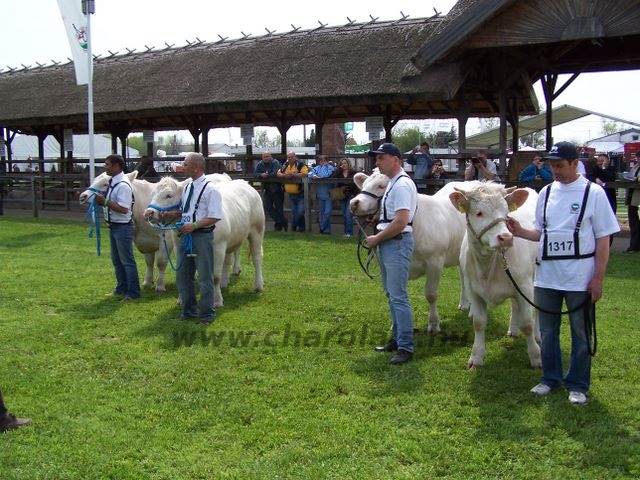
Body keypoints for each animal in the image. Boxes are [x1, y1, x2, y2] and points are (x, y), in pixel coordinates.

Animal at [145, 174, 264, 306]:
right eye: (153, 193)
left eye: (168, 195)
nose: (148, 213)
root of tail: (245, 183)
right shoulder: (179, 248)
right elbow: (182, 275)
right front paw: (182, 300)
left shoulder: (218, 248)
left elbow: (215, 277)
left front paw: (217, 301)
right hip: (231, 238)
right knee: (228, 260)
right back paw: (224, 283)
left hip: (257, 230)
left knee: (257, 257)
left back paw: (258, 285)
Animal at [350, 171, 464, 332]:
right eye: (364, 185)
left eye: (381, 186)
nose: (354, 202)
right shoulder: (387, 265)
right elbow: (391, 293)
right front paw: (396, 326)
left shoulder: (435, 262)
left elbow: (431, 294)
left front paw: (434, 324)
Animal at [450, 180, 540, 368]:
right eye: (479, 213)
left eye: (506, 213)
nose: (506, 237)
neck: (487, 266)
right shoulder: (473, 290)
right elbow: (478, 323)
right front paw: (476, 357)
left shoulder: (525, 286)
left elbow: (527, 323)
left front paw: (536, 357)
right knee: (514, 305)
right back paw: (513, 329)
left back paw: (538, 335)